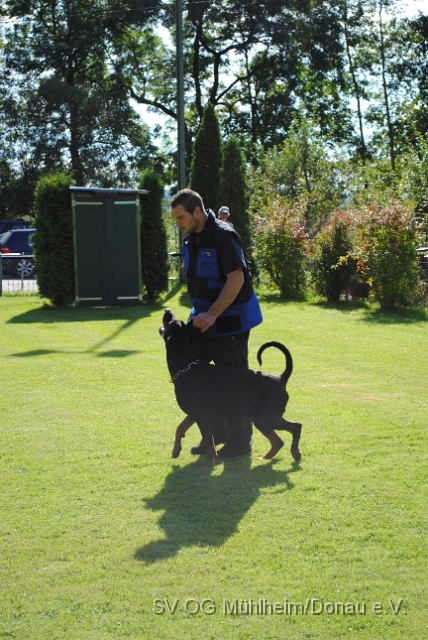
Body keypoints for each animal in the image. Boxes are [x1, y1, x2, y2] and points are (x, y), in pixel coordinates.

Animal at [159, 308, 302, 468]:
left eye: (171, 322)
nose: (167, 310)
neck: (187, 368)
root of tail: (281, 378)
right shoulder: (194, 414)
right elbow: (180, 428)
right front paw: (176, 451)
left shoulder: (201, 416)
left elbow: (210, 445)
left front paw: (208, 466)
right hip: (259, 419)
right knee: (278, 441)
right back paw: (264, 457)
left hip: (268, 418)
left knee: (296, 427)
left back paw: (296, 453)